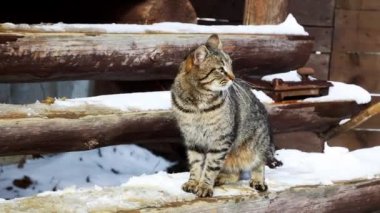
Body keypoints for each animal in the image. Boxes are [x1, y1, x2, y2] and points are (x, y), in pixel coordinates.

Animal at [171, 34, 280, 197]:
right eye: (221, 69)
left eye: (231, 65)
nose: (233, 77)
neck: (197, 103)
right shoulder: (192, 138)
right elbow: (196, 165)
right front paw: (193, 182)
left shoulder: (220, 140)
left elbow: (210, 167)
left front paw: (204, 186)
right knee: (235, 174)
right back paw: (220, 178)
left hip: (258, 145)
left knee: (258, 164)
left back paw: (257, 181)